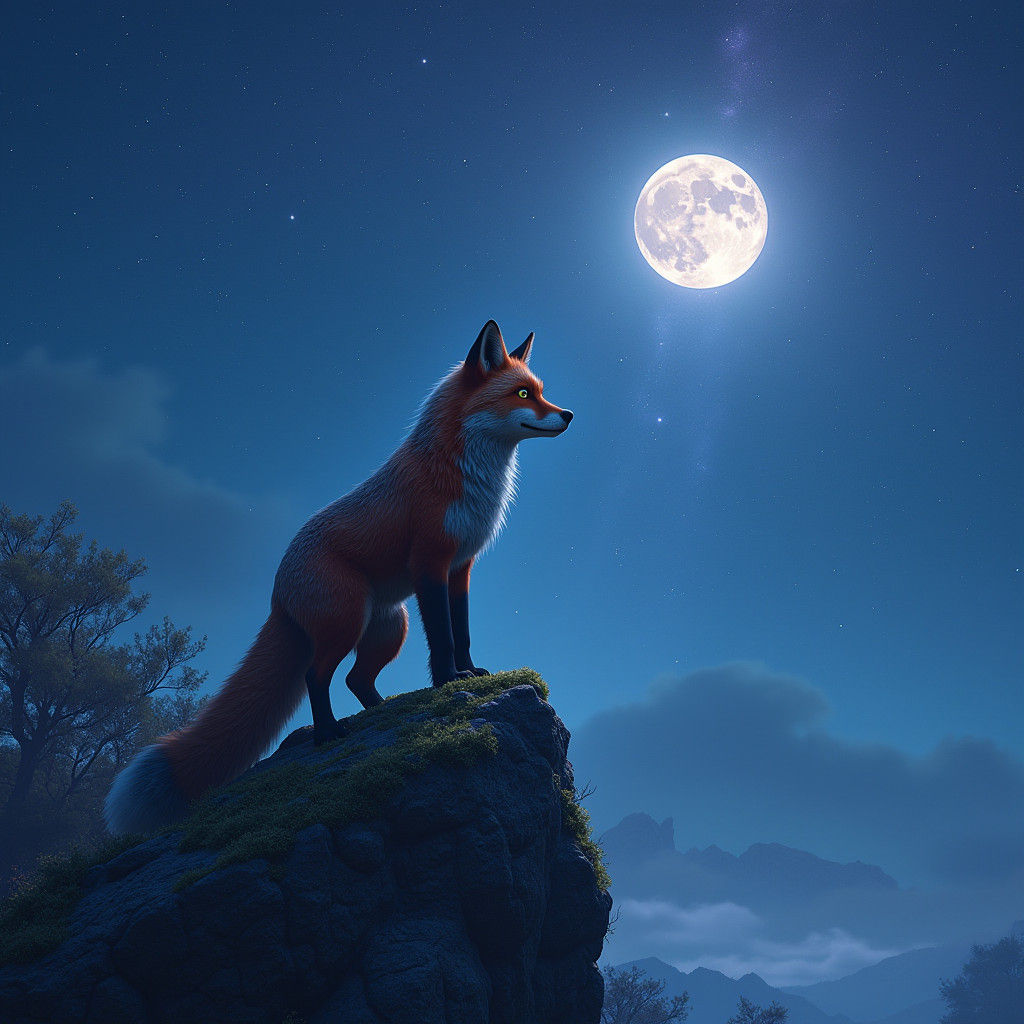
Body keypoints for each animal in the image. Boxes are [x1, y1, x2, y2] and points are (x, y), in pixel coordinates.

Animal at [104, 320, 573, 835]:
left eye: (541, 392)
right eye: (523, 394)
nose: (568, 415)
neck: (462, 473)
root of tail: (277, 590)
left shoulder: (461, 569)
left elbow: (463, 632)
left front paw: (470, 672)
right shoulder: (429, 563)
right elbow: (444, 638)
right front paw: (449, 680)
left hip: (388, 628)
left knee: (354, 680)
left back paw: (383, 709)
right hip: (348, 622)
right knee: (317, 675)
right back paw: (329, 733)